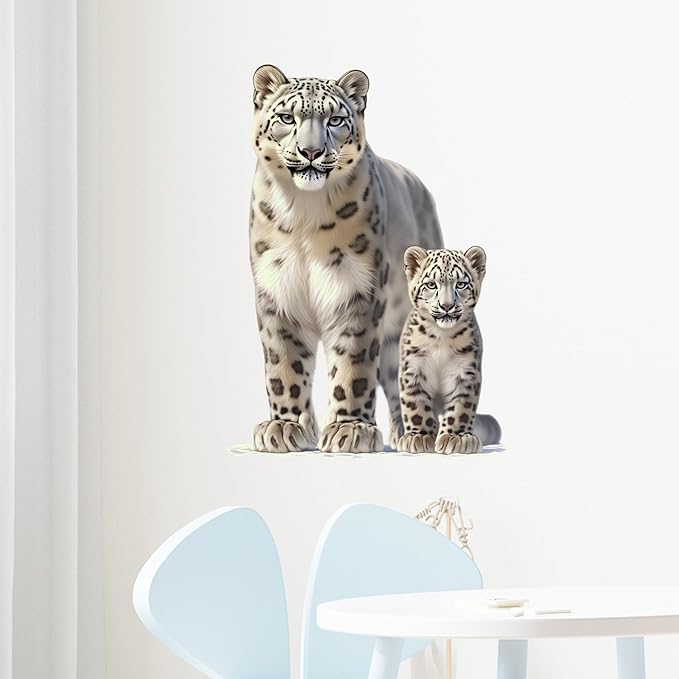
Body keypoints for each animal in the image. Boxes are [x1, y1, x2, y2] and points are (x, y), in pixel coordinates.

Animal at [249, 64, 444, 453]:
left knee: (397, 374)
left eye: (335, 119)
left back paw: (408, 436)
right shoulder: (277, 291)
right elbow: (284, 365)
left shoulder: (358, 290)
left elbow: (354, 365)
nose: (310, 151)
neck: (304, 214)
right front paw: (285, 426)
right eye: (286, 117)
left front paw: (349, 429)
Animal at [396, 246, 501, 454]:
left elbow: (461, 407)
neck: (441, 337)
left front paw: (455, 438)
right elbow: (415, 404)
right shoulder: (413, 368)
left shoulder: (466, 371)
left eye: (461, 284)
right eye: (431, 285)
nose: (446, 306)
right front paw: (419, 436)